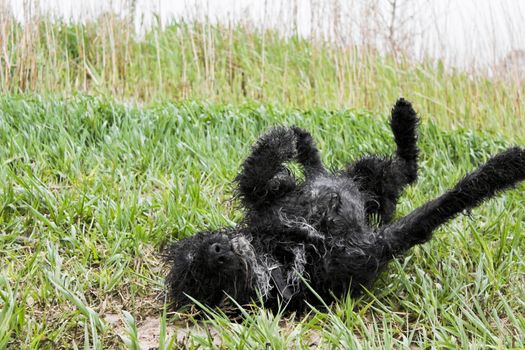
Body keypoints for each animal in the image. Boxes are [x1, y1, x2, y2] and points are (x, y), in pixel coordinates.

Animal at [168, 98, 524, 312]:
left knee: (364, 165)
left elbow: (256, 176)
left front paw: (283, 140)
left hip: (366, 171)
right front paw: (501, 170)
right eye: (212, 280)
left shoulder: (267, 206)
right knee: (406, 171)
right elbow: (440, 207)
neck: (291, 247)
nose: (216, 251)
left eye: (197, 251)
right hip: (383, 185)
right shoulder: (364, 251)